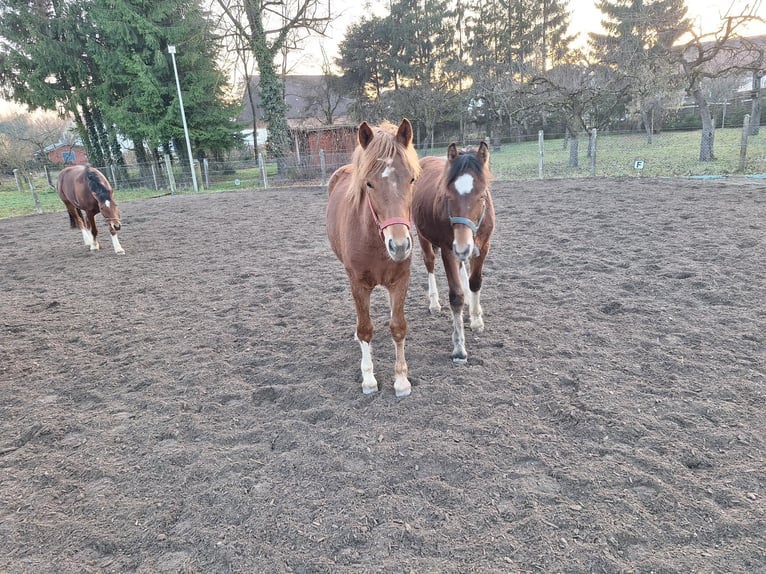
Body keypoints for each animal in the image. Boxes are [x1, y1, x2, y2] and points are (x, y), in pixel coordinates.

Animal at [326, 119, 421, 397]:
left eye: (412, 179)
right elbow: (365, 329)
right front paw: (368, 379)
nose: (399, 246)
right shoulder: (358, 284)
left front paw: (401, 380)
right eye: (369, 183)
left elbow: (398, 327)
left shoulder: (400, 280)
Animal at [412, 141, 495, 363]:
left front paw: (476, 319)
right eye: (448, 195)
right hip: (423, 237)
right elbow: (455, 296)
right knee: (430, 263)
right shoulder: (448, 250)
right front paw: (459, 348)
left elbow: (475, 282)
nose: (463, 245)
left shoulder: (483, 246)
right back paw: (434, 303)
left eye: (482, 195)